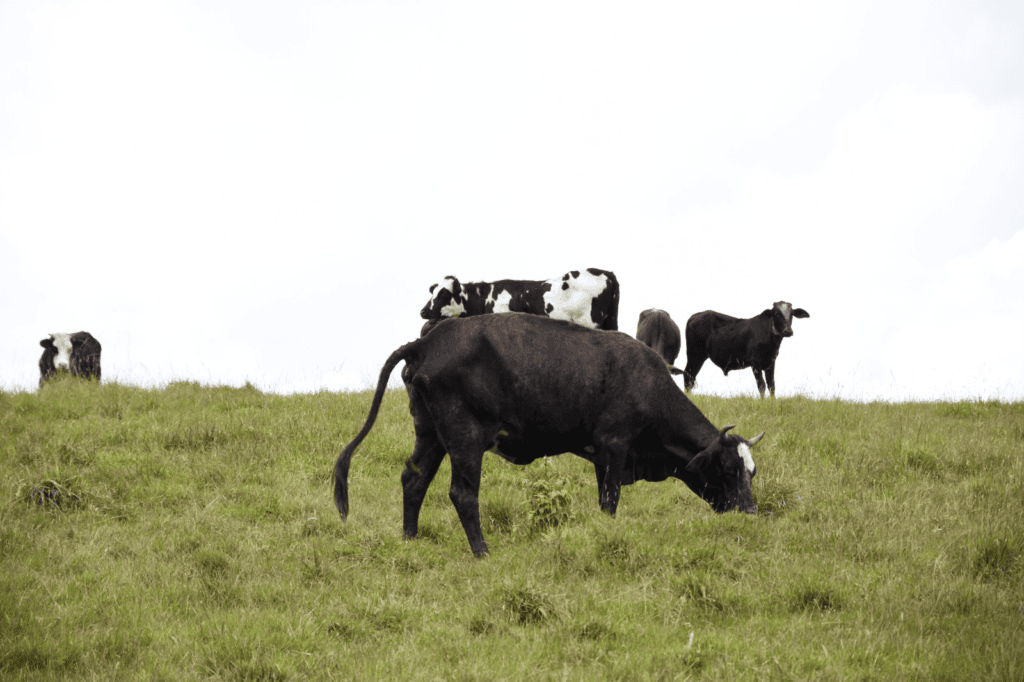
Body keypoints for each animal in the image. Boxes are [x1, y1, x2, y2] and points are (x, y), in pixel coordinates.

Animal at [335, 313, 764, 557]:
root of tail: (426, 341)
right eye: (728, 469)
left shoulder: (604, 455)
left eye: (752, 472)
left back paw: (410, 539)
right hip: (463, 437)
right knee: (462, 494)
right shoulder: (614, 446)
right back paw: (482, 552)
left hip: (430, 434)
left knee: (414, 479)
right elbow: (610, 501)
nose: (750, 513)